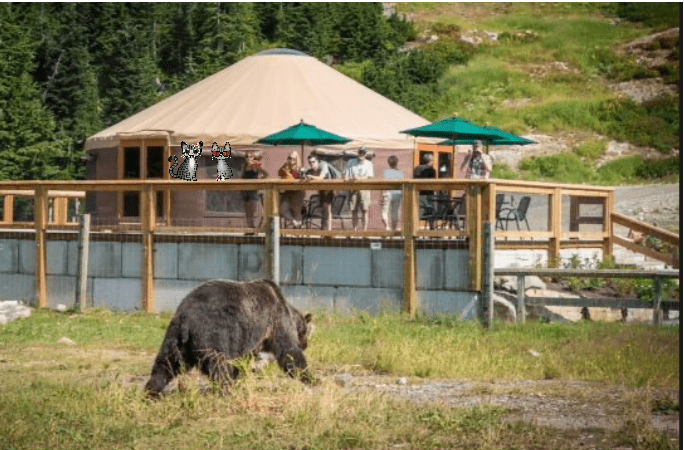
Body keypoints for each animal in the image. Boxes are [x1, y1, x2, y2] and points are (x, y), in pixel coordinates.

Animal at [145, 279, 314, 397]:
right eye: (306, 333)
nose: (305, 344)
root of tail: (187, 319)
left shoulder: (246, 340)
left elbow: (242, 361)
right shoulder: (275, 319)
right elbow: (288, 351)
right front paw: (309, 377)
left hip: (175, 337)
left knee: (165, 363)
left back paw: (151, 390)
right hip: (215, 331)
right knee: (219, 364)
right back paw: (226, 389)